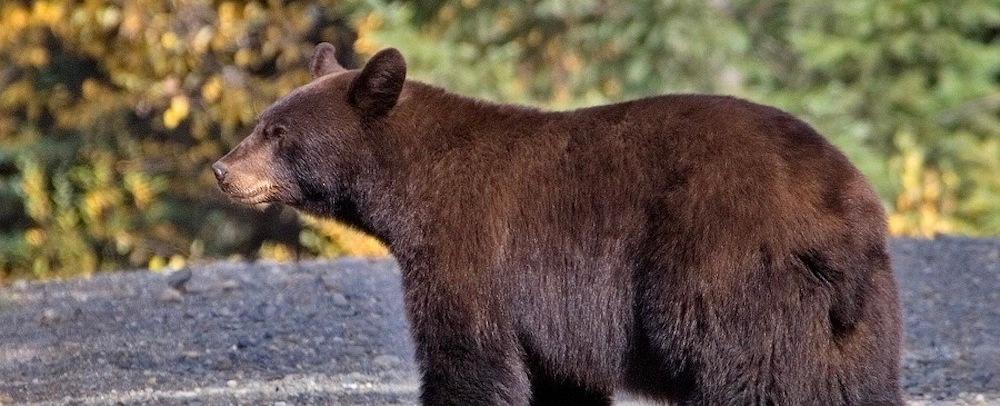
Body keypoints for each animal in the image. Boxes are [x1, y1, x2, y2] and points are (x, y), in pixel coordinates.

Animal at [213, 43, 903, 405]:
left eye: (277, 133)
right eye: (262, 122)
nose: (222, 170)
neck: (409, 184)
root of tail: (845, 211)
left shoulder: (469, 245)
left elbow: (467, 354)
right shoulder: (552, 313)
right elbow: (559, 374)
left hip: (727, 275)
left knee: (750, 376)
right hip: (856, 322)